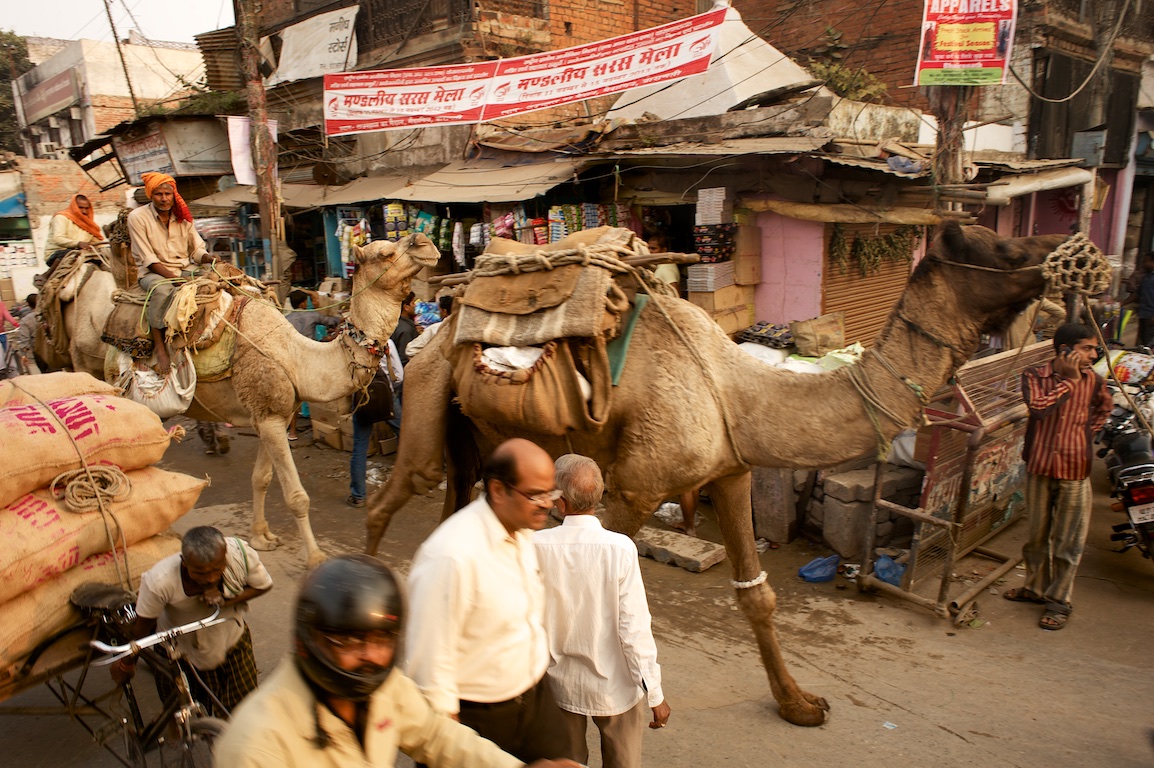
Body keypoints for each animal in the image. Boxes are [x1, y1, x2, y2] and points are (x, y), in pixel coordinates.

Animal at [40, 234, 439, 567]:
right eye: (384, 252)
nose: (426, 242)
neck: (297, 358)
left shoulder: (269, 415)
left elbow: (261, 478)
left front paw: (262, 538)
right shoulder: (271, 417)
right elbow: (296, 496)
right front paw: (315, 558)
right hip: (110, 379)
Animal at [364, 221, 1068, 727]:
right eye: (1001, 245)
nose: (1063, 253)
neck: (735, 390)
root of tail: (443, 320)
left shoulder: (731, 472)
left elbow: (757, 594)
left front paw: (800, 705)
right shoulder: (633, 489)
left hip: (481, 432)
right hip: (427, 394)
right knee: (393, 497)